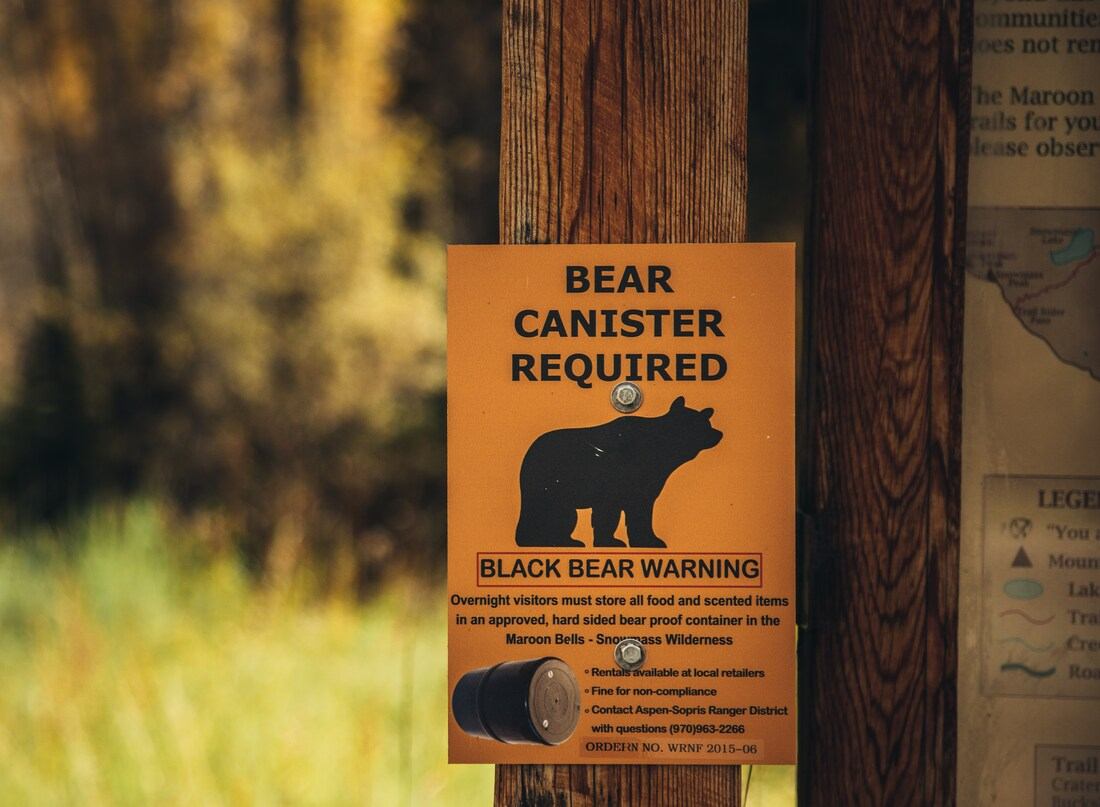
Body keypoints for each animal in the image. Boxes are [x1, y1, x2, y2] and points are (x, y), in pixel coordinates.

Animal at [514, 396, 722, 549]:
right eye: (703, 425)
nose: (718, 433)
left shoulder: (646, 485)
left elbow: (640, 512)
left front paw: (649, 541)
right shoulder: (613, 480)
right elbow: (609, 512)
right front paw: (610, 542)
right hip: (548, 486)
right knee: (551, 514)